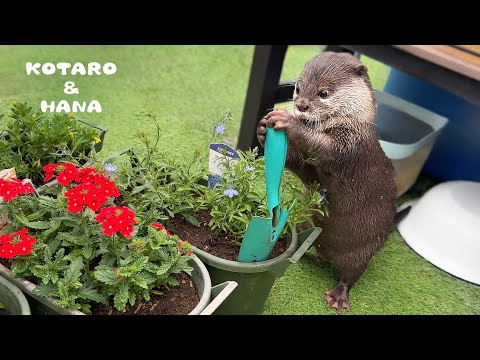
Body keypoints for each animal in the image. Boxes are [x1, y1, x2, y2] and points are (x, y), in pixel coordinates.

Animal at [258, 52, 398, 314]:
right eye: (298, 88)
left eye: (324, 93)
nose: (301, 105)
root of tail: (328, 252)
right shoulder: (313, 172)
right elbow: (305, 170)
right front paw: (262, 129)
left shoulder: (348, 148)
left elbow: (319, 146)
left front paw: (288, 121)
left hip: (363, 250)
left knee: (351, 274)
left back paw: (338, 296)